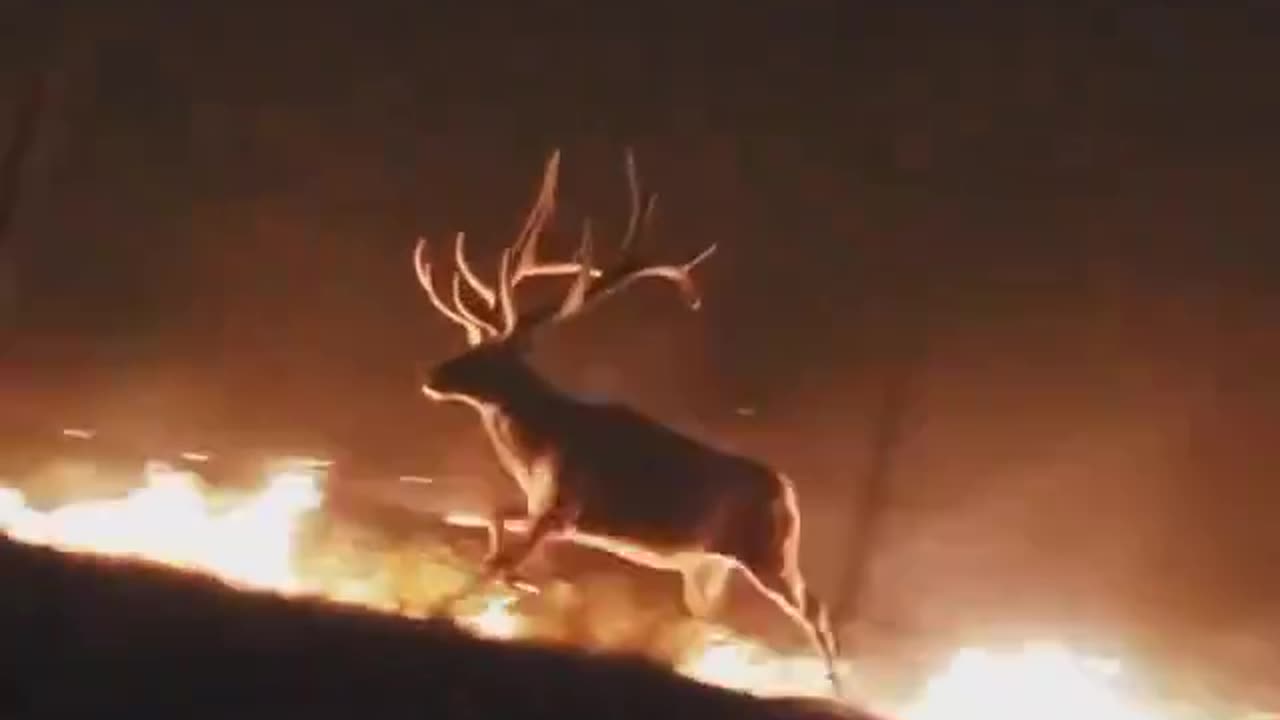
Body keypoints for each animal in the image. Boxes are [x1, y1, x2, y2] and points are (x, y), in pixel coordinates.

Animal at [414, 149, 844, 691]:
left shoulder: (565, 509)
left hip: (771, 555)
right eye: (470, 344)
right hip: (707, 564)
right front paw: (509, 578)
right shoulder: (541, 506)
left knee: (817, 611)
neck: (540, 440)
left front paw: (445, 607)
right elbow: (494, 517)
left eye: (492, 355)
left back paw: (836, 688)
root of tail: (789, 492)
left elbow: (501, 559)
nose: (432, 376)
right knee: (712, 613)